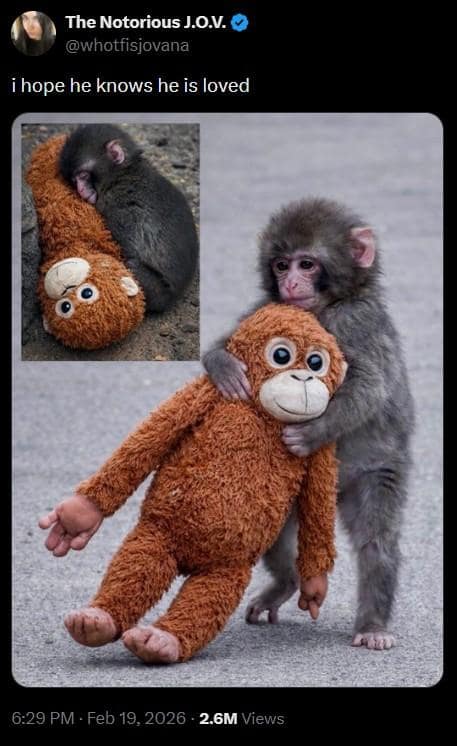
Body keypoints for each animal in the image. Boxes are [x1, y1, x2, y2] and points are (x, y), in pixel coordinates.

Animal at [59, 124, 198, 313]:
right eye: (74, 180)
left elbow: (126, 250)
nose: (81, 190)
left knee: (131, 265)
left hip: (156, 290)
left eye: (83, 176)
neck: (123, 173)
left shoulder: (121, 209)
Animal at [203, 197, 415, 651]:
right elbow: (230, 343)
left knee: (376, 542)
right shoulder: (269, 312)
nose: (291, 284)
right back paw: (288, 581)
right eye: (281, 265)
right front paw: (223, 365)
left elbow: (369, 385)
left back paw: (373, 624)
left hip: (374, 474)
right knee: (273, 531)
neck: (325, 308)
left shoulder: (357, 320)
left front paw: (310, 433)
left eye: (307, 264)